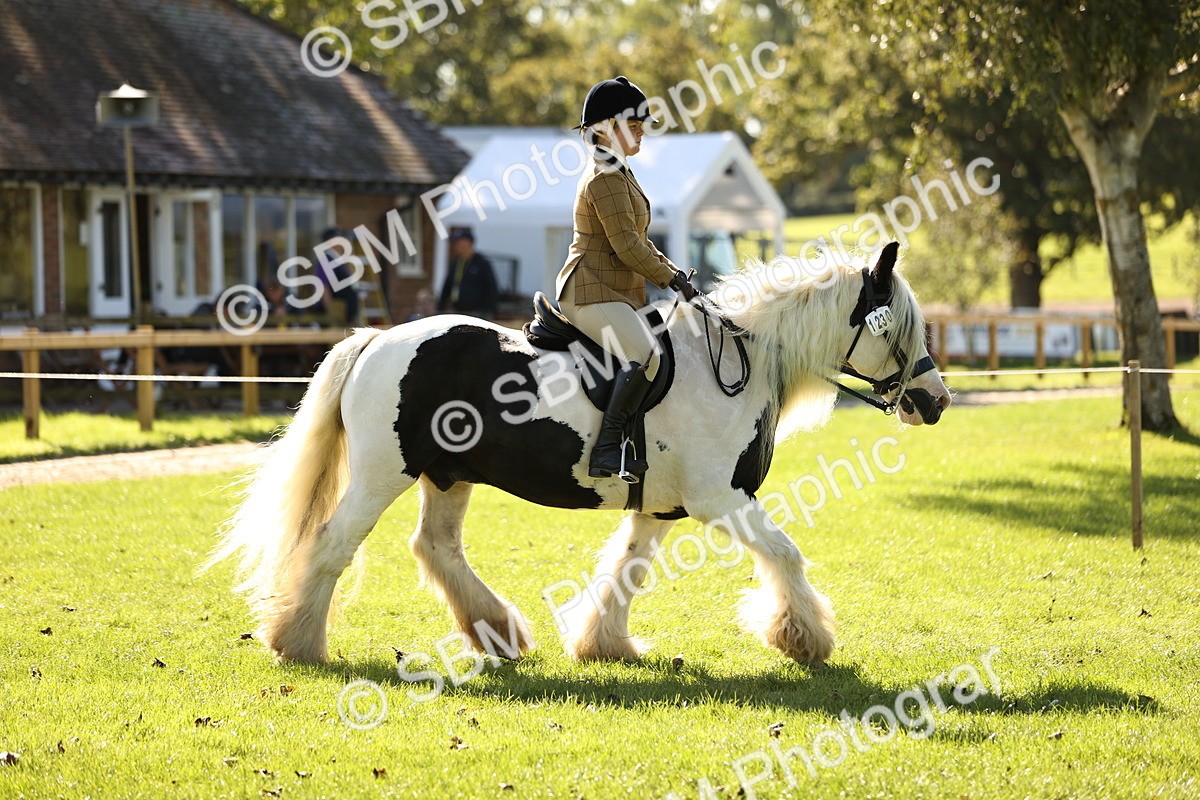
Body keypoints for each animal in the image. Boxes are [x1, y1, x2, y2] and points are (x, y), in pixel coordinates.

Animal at [207, 242, 951, 667]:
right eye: (897, 326)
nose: (935, 401)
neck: (734, 360)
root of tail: (377, 339)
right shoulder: (721, 500)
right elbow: (786, 555)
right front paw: (804, 639)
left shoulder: (663, 508)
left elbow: (625, 571)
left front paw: (604, 644)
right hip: (380, 475)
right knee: (334, 547)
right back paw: (297, 642)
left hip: (448, 476)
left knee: (435, 547)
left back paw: (498, 633)